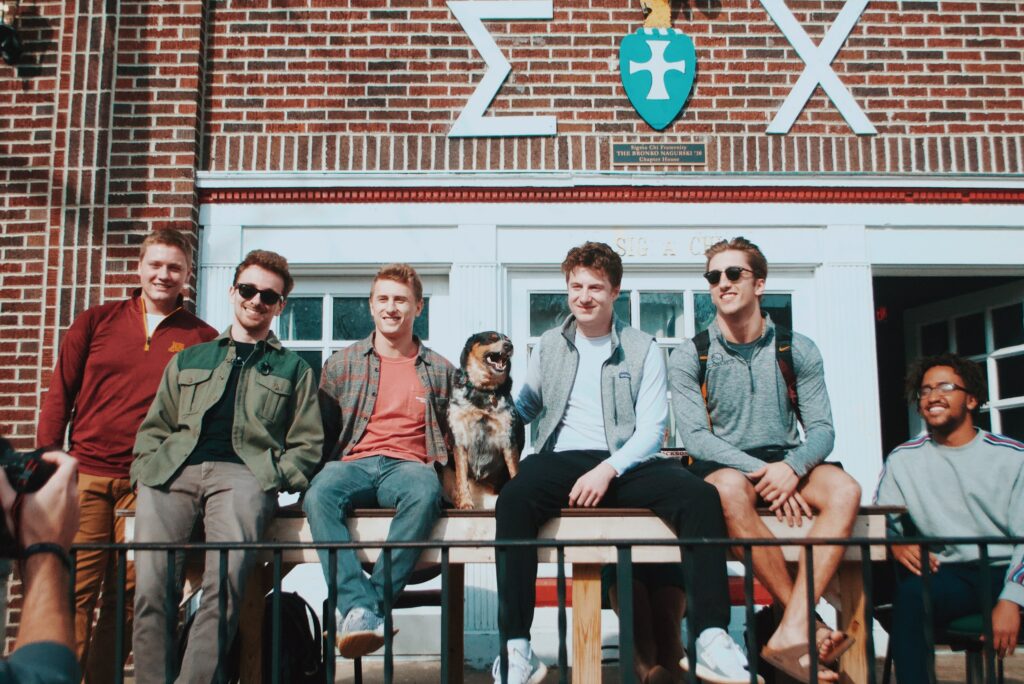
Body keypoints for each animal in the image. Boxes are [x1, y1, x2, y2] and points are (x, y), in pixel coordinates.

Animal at [444, 327, 524, 509]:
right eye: (492, 338)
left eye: (508, 339)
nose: (509, 346)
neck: (483, 390)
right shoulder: (459, 438)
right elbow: (462, 477)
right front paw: (466, 503)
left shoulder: (508, 438)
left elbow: (515, 472)